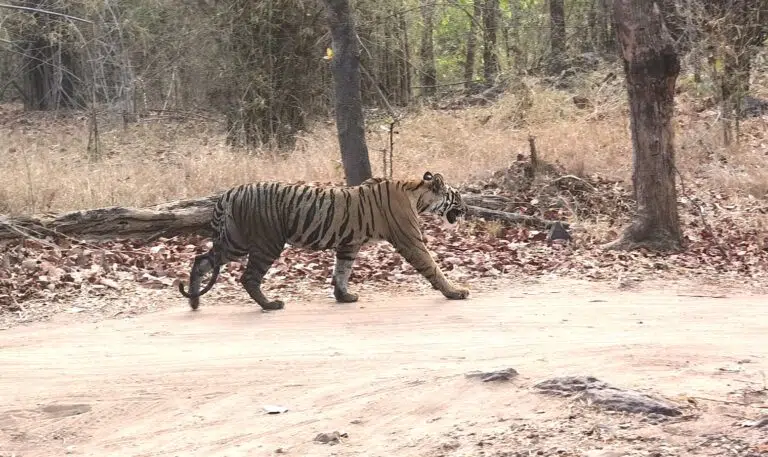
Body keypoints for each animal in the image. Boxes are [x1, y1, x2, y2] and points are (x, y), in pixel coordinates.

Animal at [177, 171, 470, 311]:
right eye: (457, 196)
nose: (467, 208)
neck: (417, 194)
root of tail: (230, 192)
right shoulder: (410, 240)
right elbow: (433, 267)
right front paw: (455, 292)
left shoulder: (349, 244)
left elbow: (342, 270)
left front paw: (344, 296)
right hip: (266, 243)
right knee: (248, 277)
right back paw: (271, 305)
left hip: (235, 242)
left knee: (201, 260)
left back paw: (194, 302)